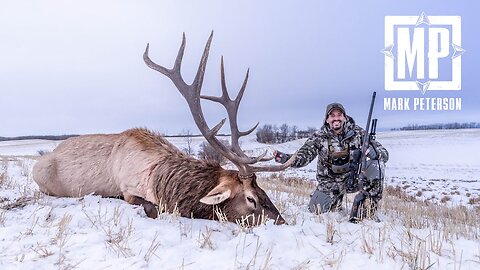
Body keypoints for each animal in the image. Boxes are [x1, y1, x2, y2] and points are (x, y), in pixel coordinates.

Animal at [31, 31, 294, 225]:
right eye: (251, 199)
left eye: (264, 192)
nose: (282, 222)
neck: (159, 177)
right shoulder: (128, 190)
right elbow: (154, 210)